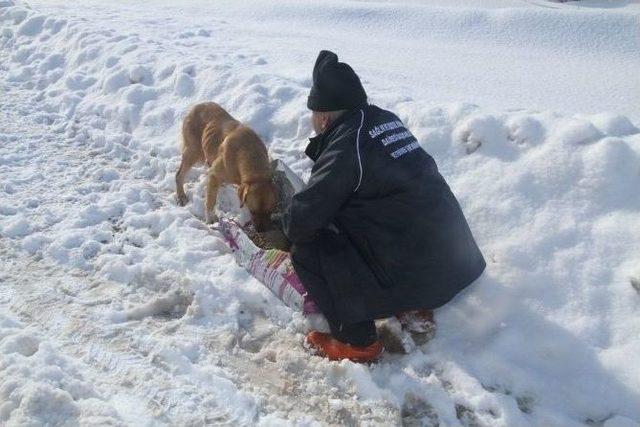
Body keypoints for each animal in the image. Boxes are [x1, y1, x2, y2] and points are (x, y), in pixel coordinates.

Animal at [175, 103, 278, 231]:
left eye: (270, 211)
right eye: (252, 211)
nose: (261, 231)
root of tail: (195, 107)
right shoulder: (215, 174)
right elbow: (210, 200)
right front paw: (211, 219)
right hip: (193, 151)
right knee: (179, 175)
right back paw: (181, 196)